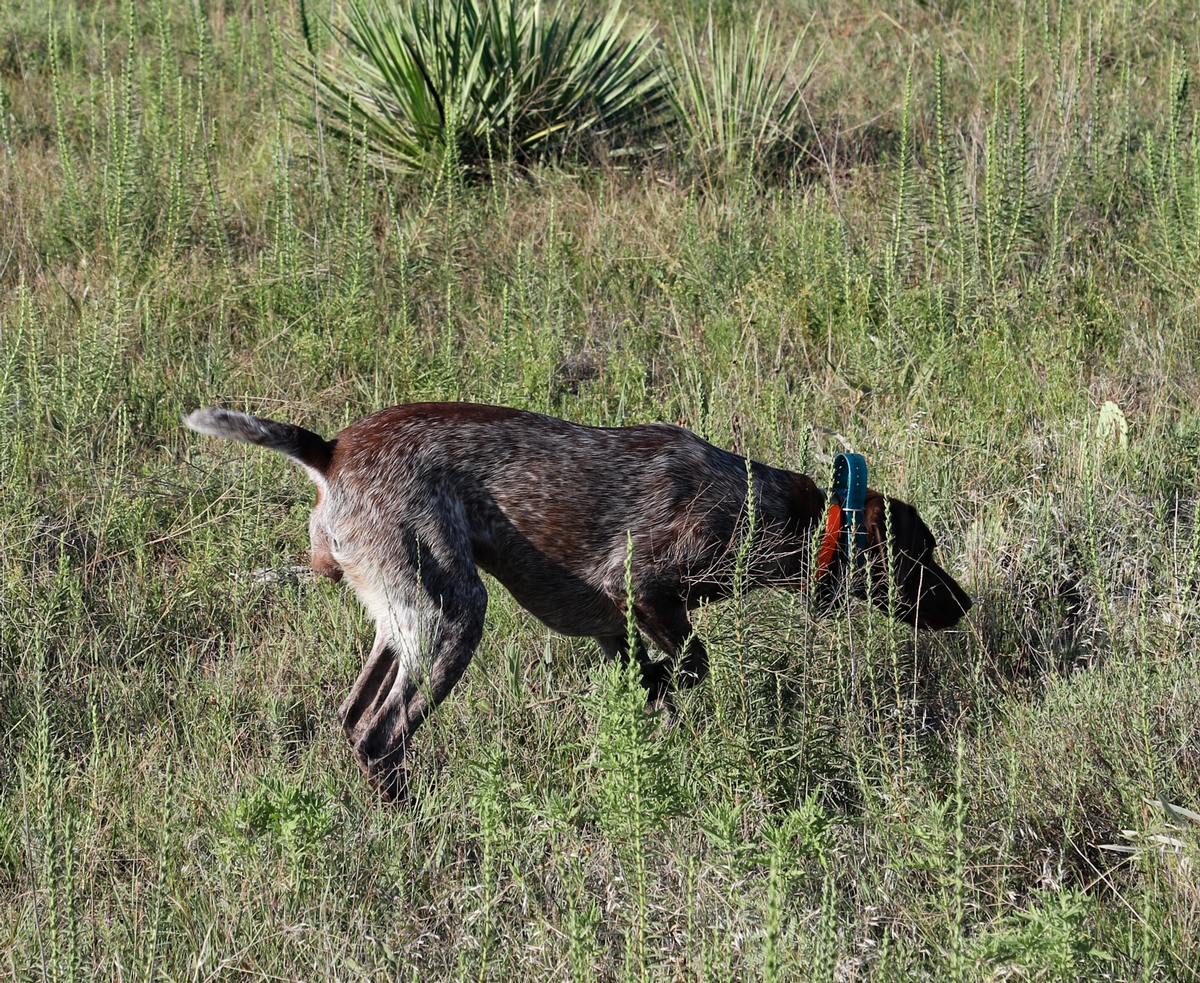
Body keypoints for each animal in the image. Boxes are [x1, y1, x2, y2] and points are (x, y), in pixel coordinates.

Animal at [187, 400, 974, 801]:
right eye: (922, 554)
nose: (962, 605)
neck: (770, 508)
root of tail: (331, 451)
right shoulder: (643, 586)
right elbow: (693, 662)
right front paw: (661, 689)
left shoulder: (613, 626)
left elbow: (653, 672)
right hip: (453, 616)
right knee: (382, 732)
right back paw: (414, 816)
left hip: (404, 619)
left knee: (355, 720)